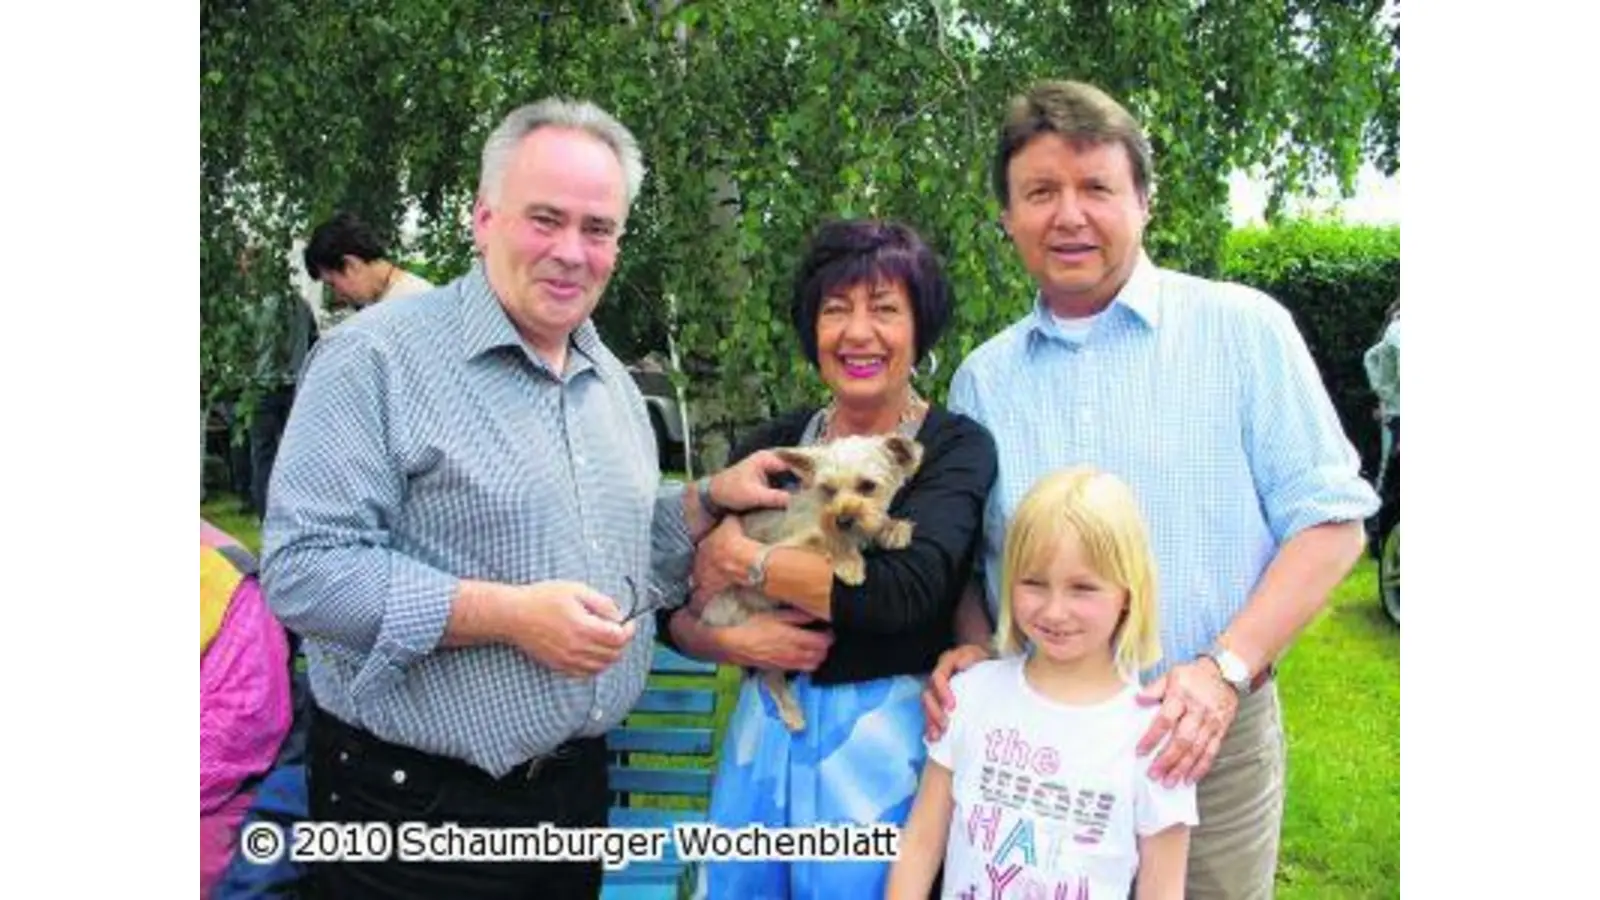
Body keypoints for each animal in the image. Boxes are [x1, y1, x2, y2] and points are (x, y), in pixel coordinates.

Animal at [700, 432, 928, 733]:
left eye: (868, 486)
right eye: (828, 489)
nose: (843, 519)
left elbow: (875, 524)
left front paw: (894, 528)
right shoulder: (786, 546)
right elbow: (829, 541)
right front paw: (849, 562)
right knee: (769, 674)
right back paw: (791, 712)